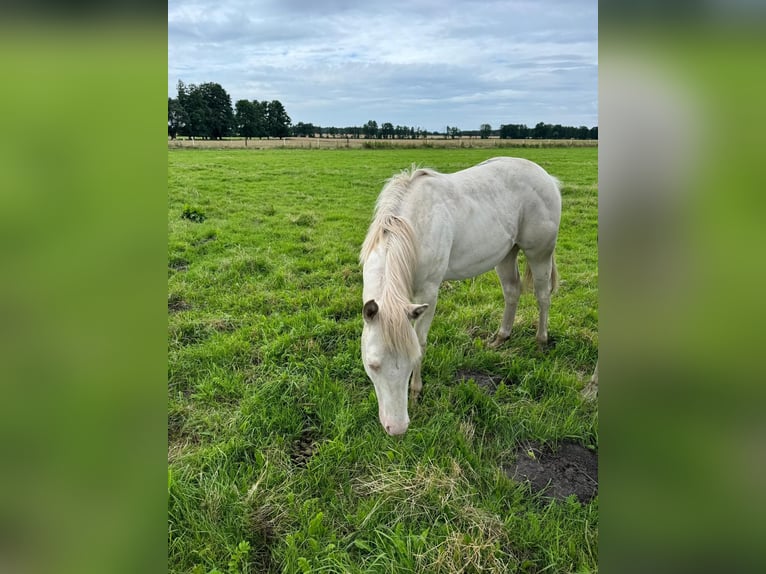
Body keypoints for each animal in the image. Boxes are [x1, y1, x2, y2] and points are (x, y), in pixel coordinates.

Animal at [360, 158, 564, 436]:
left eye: (411, 360)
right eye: (372, 365)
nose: (397, 428)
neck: (411, 230)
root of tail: (546, 177)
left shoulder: (429, 293)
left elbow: (421, 340)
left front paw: (416, 392)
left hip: (539, 253)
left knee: (543, 295)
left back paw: (541, 341)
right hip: (506, 254)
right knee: (512, 291)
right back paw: (500, 338)